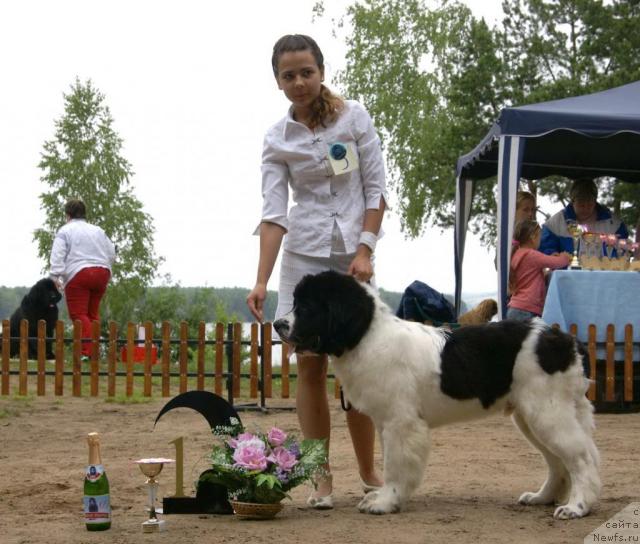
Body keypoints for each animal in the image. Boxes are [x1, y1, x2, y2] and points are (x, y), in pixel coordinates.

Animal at [274, 270, 600, 520]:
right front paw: (382, 498)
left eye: (307, 307)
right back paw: (541, 497)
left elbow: (395, 466)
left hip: (547, 412)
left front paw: (385, 502)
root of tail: (567, 341)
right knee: (559, 462)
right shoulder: (386, 422)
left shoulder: (401, 423)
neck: (367, 337)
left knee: (582, 458)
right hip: (531, 417)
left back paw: (576, 507)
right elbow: (389, 462)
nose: (278, 324)